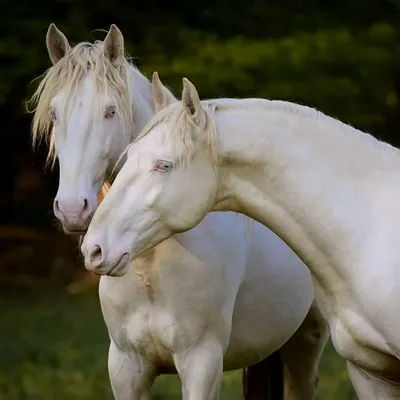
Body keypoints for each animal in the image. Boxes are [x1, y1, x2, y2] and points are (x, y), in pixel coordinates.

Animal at [32, 25, 328, 400]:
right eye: (55, 114)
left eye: (110, 111)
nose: (72, 209)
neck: (149, 261)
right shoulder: (125, 368)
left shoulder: (201, 363)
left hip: (305, 345)